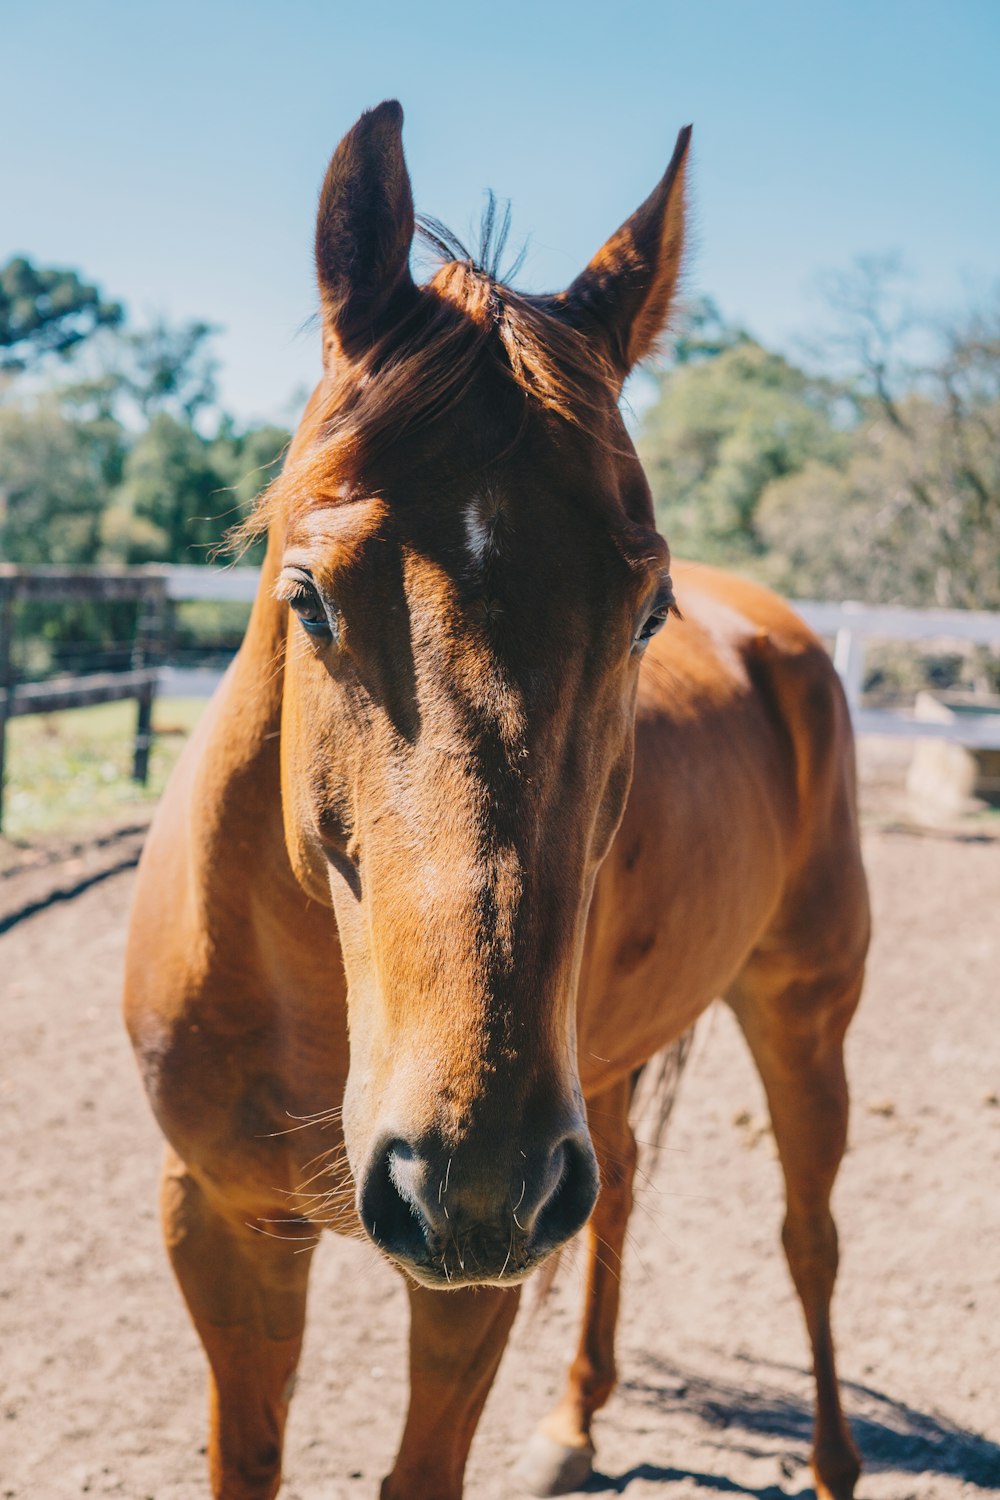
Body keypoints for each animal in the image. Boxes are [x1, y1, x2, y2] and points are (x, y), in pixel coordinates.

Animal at [122, 99, 869, 1494]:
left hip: (801, 1016)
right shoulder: (221, 1225)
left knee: (810, 1238)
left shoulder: (468, 1282)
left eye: (647, 609)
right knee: (624, 1194)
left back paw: (833, 1461)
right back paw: (574, 1423)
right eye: (307, 596)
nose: (475, 1179)